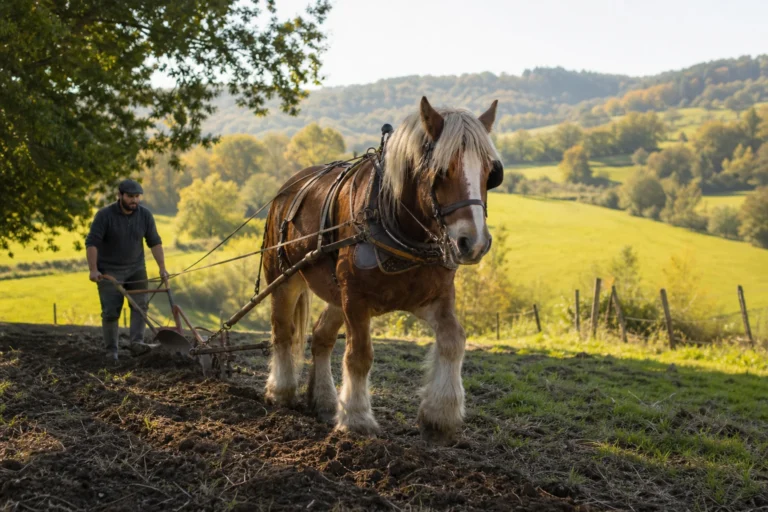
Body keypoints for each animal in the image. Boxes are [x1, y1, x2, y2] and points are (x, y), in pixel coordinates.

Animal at [261, 97, 502, 444]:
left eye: (489, 172)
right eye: (441, 171)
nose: (475, 242)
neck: (397, 226)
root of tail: (289, 187)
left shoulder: (433, 297)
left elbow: (453, 340)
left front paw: (440, 414)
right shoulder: (356, 299)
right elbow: (359, 355)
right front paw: (357, 418)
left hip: (335, 292)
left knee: (320, 337)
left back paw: (324, 400)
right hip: (285, 277)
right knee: (283, 330)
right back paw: (281, 390)